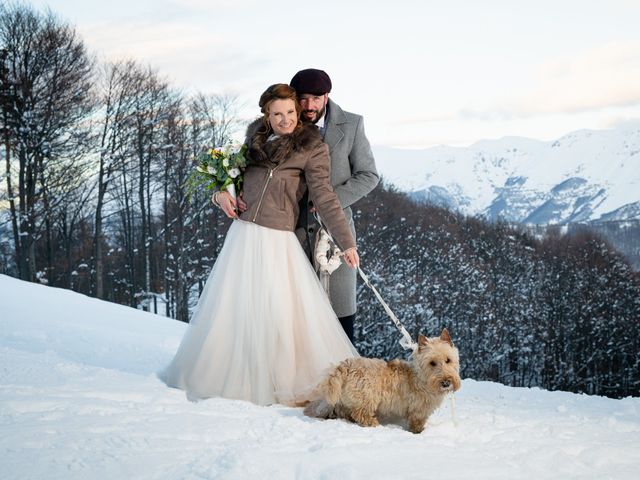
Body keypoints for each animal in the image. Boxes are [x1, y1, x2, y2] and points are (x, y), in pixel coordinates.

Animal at [302, 328, 458, 434]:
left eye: (448, 360)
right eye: (432, 363)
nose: (446, 382)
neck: (421, 377)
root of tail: (346, 365)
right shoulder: (418, 411)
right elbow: (416, 423)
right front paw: (419, 432)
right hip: (367, 398)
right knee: (361, 414)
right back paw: (374, 424)